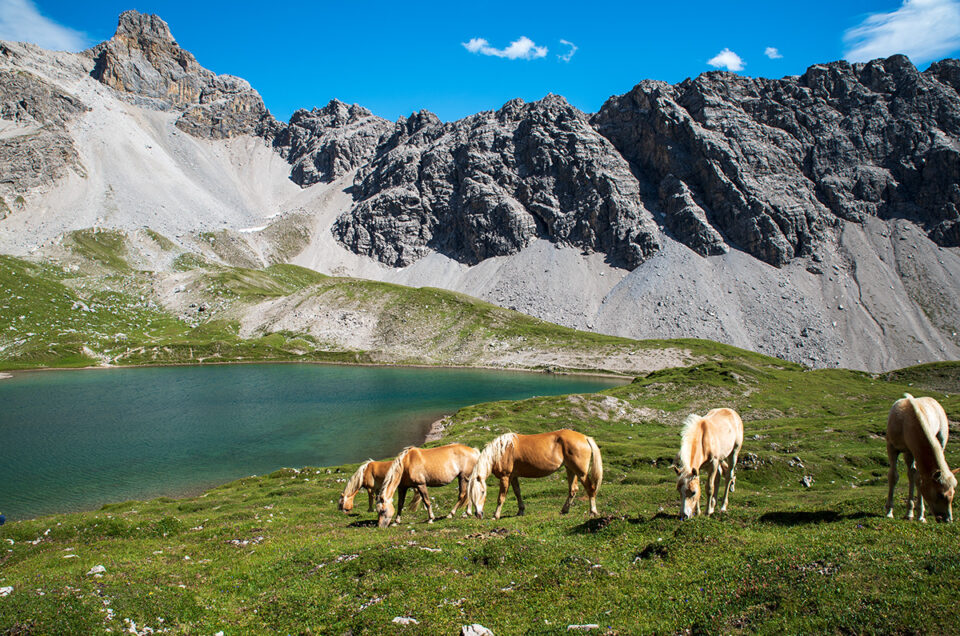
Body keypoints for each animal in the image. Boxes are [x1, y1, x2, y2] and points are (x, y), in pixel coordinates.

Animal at [464, 428, 600, 520]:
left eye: (483, 492)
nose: (478, 514)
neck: (501, 451)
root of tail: (585, 437)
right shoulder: (513, 477)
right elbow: (517, 493)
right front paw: (520, 511)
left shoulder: (505, 477)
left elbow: (501, 497)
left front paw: (495, 515)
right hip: (570, 469)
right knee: (573, 489)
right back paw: (564, 510)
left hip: (581, 472)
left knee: (590, 488)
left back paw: (593, 511)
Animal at [888, 392, 956, 520]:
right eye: (940, 495)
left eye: (953, 493)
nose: (948, 519)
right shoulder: (892, 448)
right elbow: (893, 476)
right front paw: (889, 512)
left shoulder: (916, 452)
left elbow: (919, 479)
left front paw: (920, 514)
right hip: (908, 453)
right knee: (911, 474)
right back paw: (909, 512)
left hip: (939, 442)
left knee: (914, 475)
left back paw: (912, 512)